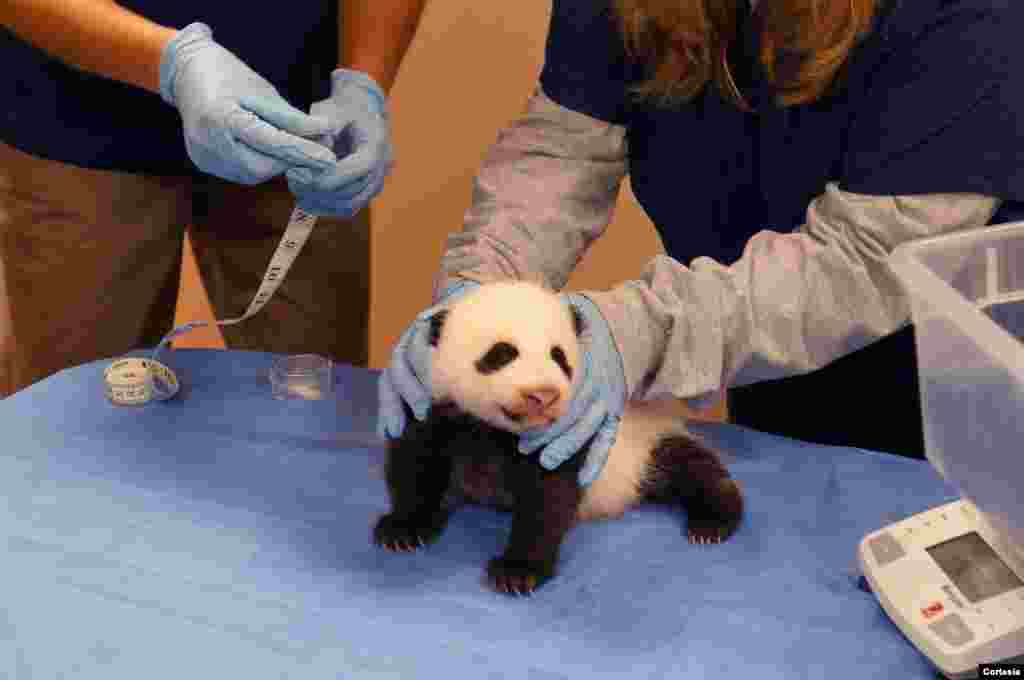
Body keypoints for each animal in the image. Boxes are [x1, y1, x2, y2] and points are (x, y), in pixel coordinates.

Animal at [372, 280, 741, 593]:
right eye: (502, 353)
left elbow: (548, 496)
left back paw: (711, 524)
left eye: (559, 356)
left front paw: (518, 571)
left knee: (692, 467)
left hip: (649, 440)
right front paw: (403, 529)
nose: (543, 395)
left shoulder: (566, 435)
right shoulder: (430, 403)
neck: (495, 429)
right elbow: (416, 462)